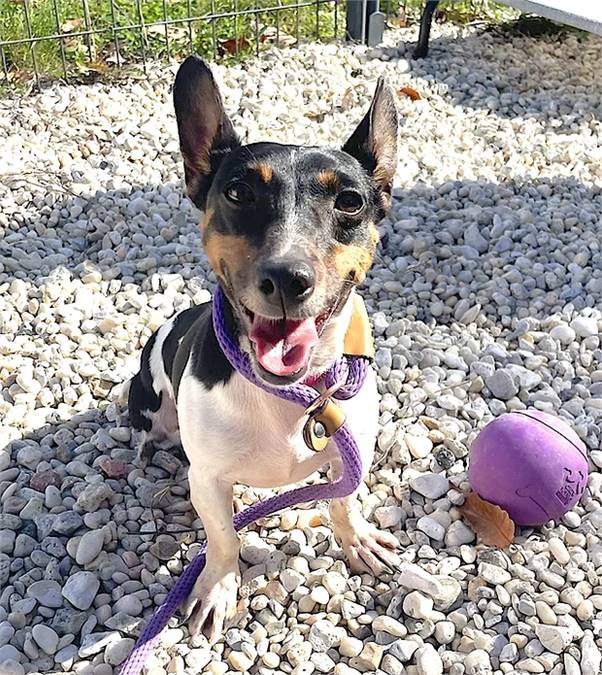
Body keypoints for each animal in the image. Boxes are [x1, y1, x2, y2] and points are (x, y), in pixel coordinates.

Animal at [128, 58, 396, 644]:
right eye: (237, 193)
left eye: (350, 201)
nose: (286, 278)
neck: (296, 394)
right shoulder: (208, 479)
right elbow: (224, 537)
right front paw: (217, 587)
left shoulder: (352, 452)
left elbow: (343, 500)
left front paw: (356, 538)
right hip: (147, 404)